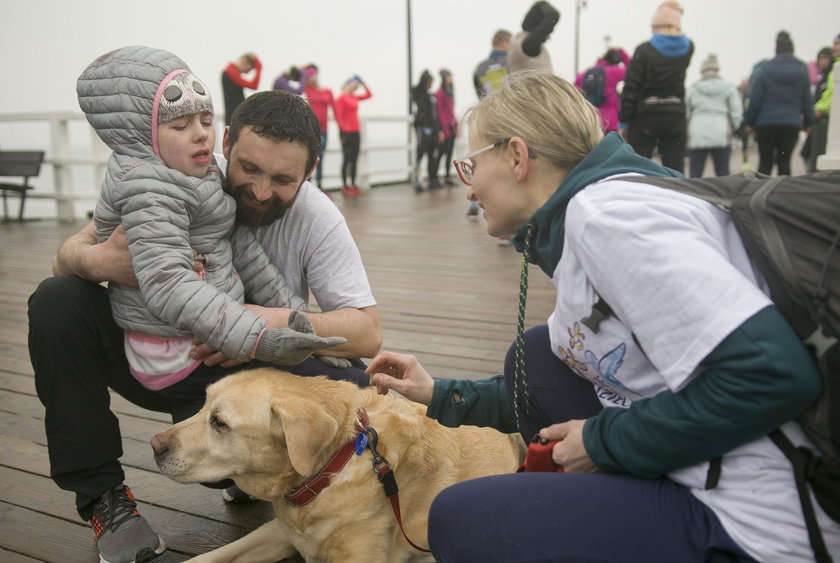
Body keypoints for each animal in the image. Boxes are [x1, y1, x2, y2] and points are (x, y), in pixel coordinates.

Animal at [148, 368, 520, 560]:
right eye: (202, 405)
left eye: (220, 423)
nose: (155, 446)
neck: (330, 469)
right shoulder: (278, 532)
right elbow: (207, 557)